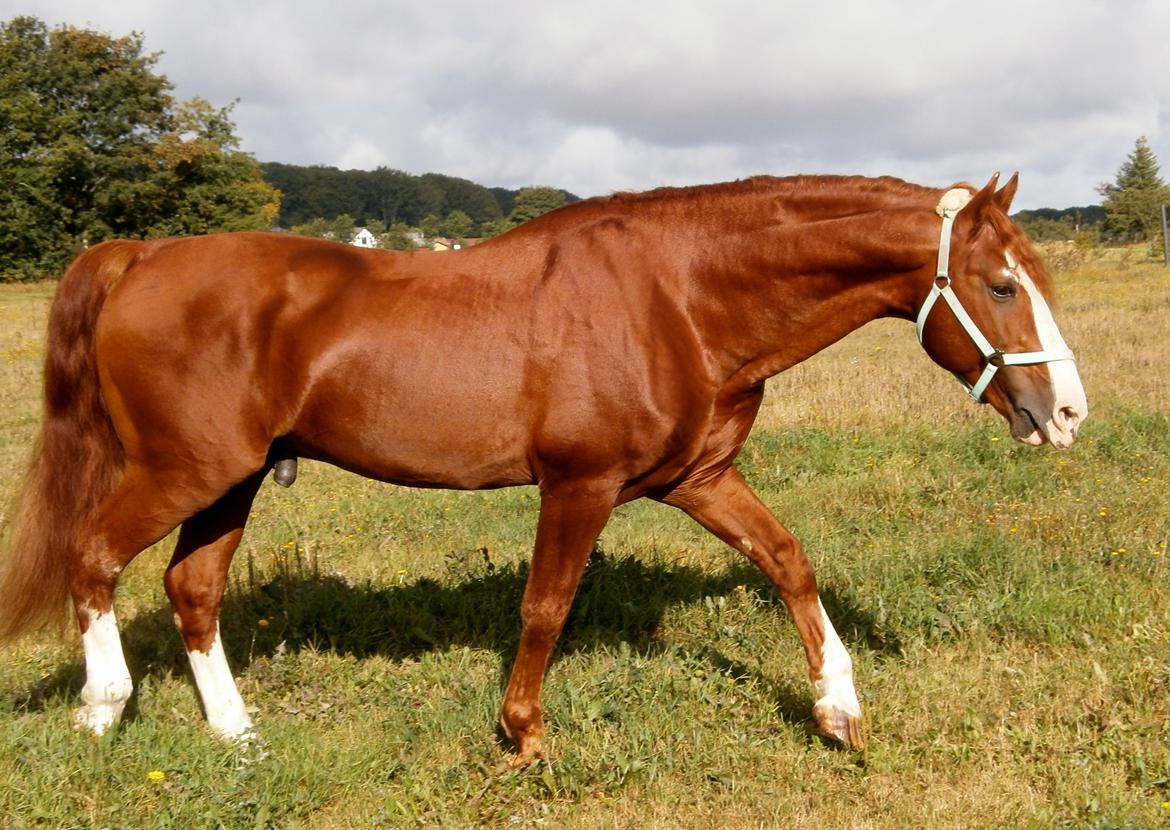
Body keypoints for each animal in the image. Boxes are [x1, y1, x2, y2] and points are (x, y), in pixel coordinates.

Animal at [0, 172, 1085, 758]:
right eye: (998, 283)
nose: (1066, 412)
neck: (677, 296)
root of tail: (141, 256)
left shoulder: (698, 481)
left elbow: (788, 561)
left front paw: (839, 708)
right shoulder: (580, 483)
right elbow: (545, 606)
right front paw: (523, 732)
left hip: (228, 480)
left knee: (191, 588)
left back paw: (235, 733)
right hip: (184, 471)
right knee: (94, 557)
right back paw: (102, 710)